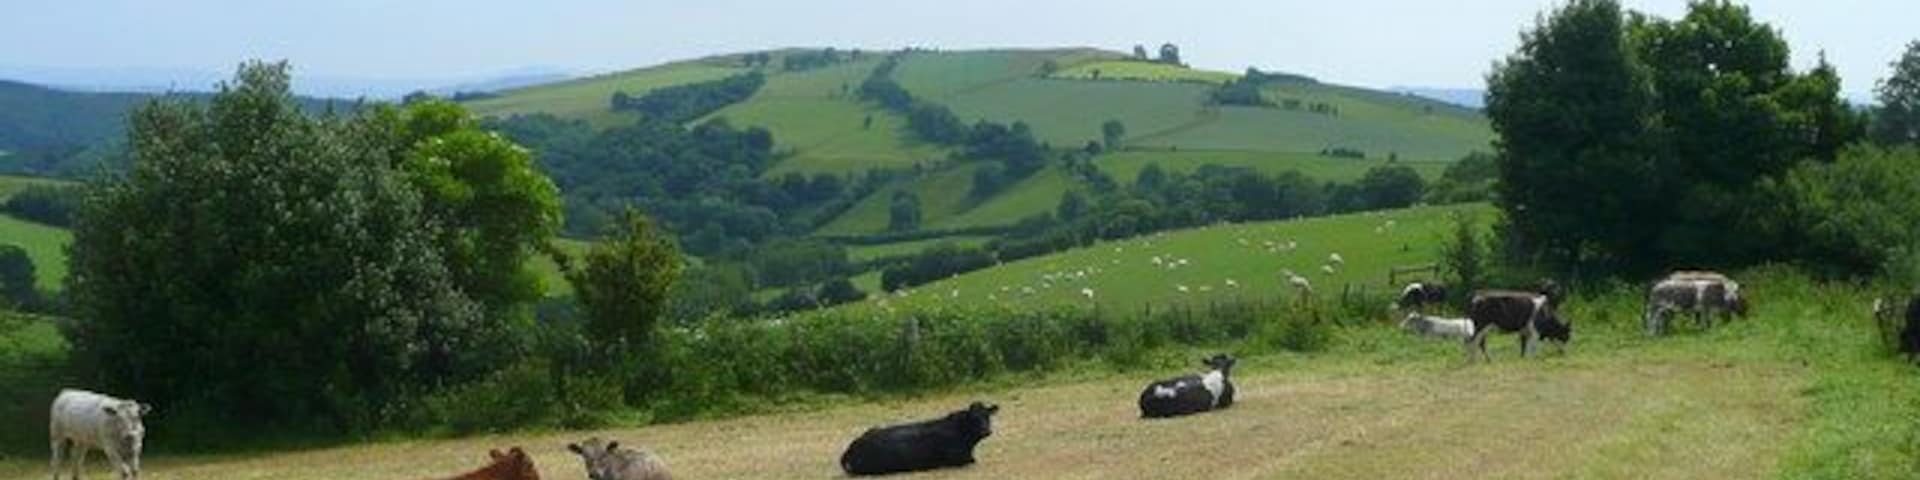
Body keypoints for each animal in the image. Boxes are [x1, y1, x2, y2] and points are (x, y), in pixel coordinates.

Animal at [840, 401, 1000, 476]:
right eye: (974, 418)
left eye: (987, 416)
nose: (987, 431)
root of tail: (852, 448)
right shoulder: (960, 459)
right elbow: (973, 460)